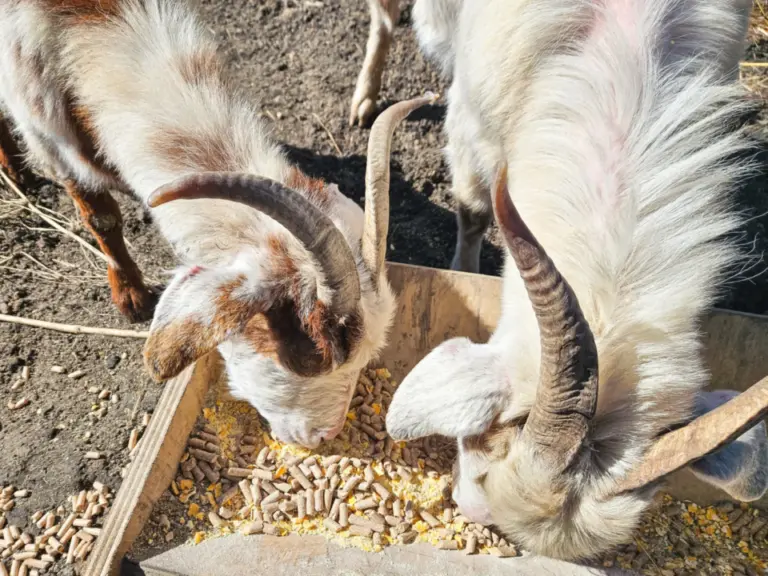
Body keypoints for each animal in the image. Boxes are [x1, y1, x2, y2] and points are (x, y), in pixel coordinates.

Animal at [0, 0, 434, 448]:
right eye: (310, 355)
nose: (321, 437)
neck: (90, 24)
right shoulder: (47, 133)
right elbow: (100, 217)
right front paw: (130, 297)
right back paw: (16, 170)